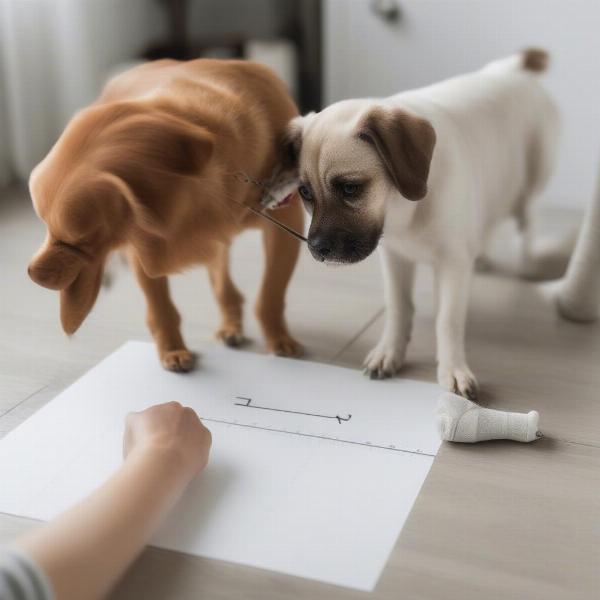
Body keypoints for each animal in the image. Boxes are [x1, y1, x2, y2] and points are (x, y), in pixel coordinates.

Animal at [27, 61, 304, 370]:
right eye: (45, 226)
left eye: (80, 239)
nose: (32, 274)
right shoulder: (142, 242)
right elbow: (161, 308)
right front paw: (172, 350)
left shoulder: (286, 226)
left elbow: (270, 294)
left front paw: (278, 340)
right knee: (220, 281)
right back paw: (229, 325)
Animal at [286, 49, 556, 398]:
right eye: (305, 193)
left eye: (350, 188)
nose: (316, 249)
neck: (404, 210)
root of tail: (512, 68)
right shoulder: (395, 257)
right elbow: (399, 308)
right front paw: (390, 351)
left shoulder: (453, 264)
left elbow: (448, 320)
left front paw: (453, 369)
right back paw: (482, 255)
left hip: (531, 180)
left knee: (529, 219)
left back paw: (526, 264)